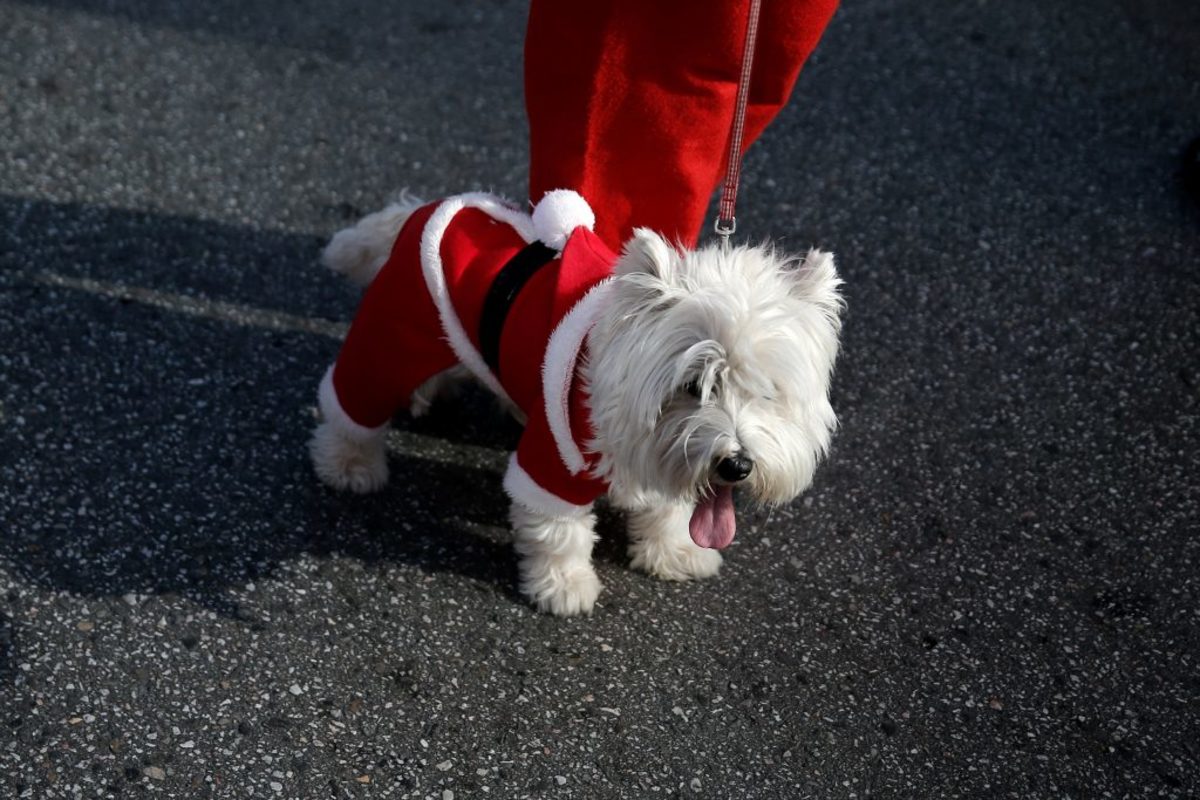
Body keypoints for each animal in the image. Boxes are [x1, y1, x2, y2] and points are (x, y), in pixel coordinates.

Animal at [307, 190, 844, 618]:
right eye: (694, 386)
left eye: (767, 391)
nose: (736, 465)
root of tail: (431, 207)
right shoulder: (552, 458)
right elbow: (560, 530)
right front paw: (564, 588)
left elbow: (671, 503)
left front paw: (674, 552)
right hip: (392, 337)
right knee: (351, 402)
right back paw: (349, 464)